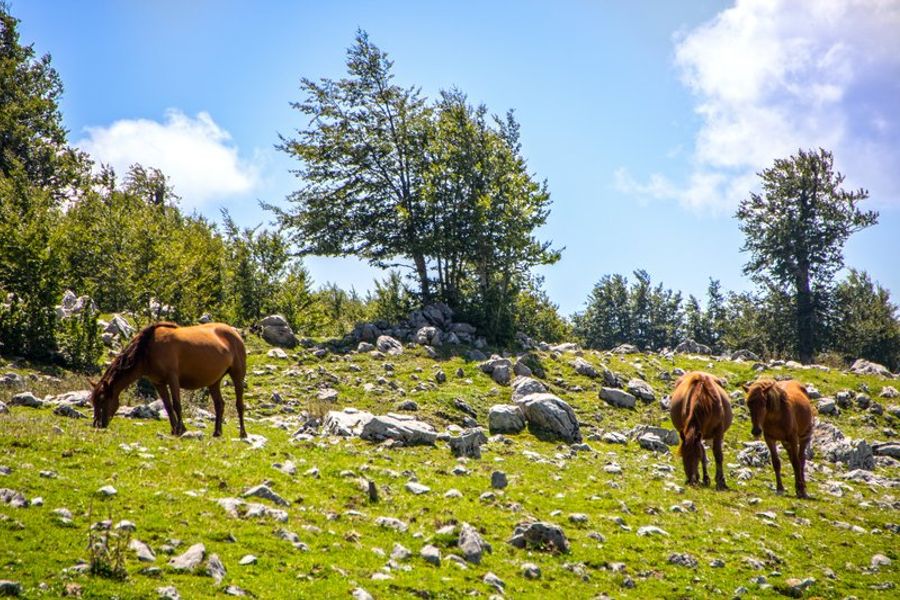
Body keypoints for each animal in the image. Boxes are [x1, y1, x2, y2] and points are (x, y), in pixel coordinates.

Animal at [90, 322, 247, 438]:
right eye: (94, 401)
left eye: (102, 399)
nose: (97, 424)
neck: (148, 350)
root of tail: (234, 333)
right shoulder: (158, 383)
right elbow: (168, 405)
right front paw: (174, 430)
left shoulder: (173, 378)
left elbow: (177, 404)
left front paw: (182, 429)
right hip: (214, 381)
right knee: (219, 404)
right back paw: (217, 432)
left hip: (238, 375)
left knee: (239, 405)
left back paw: (243, 433)